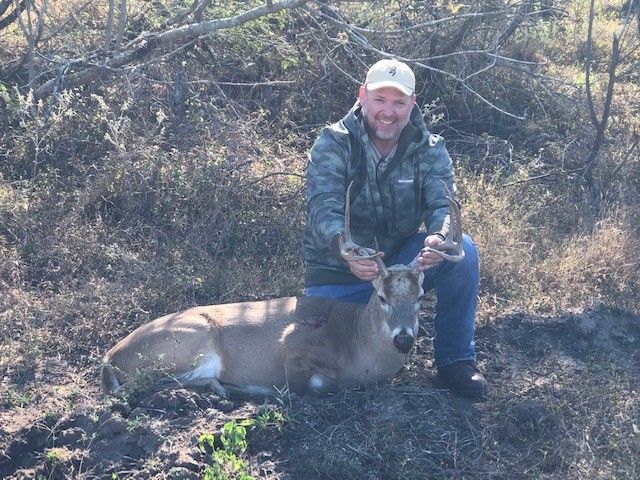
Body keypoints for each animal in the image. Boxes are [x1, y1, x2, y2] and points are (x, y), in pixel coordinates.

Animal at [101, 182, 465, 398]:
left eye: (420, 297)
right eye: (383, 297)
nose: (403, 339)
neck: (356, 342)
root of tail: (110, 357)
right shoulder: (291, 343)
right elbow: (306, 387)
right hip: (193, 342)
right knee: (149, 383)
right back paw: (228, 389)